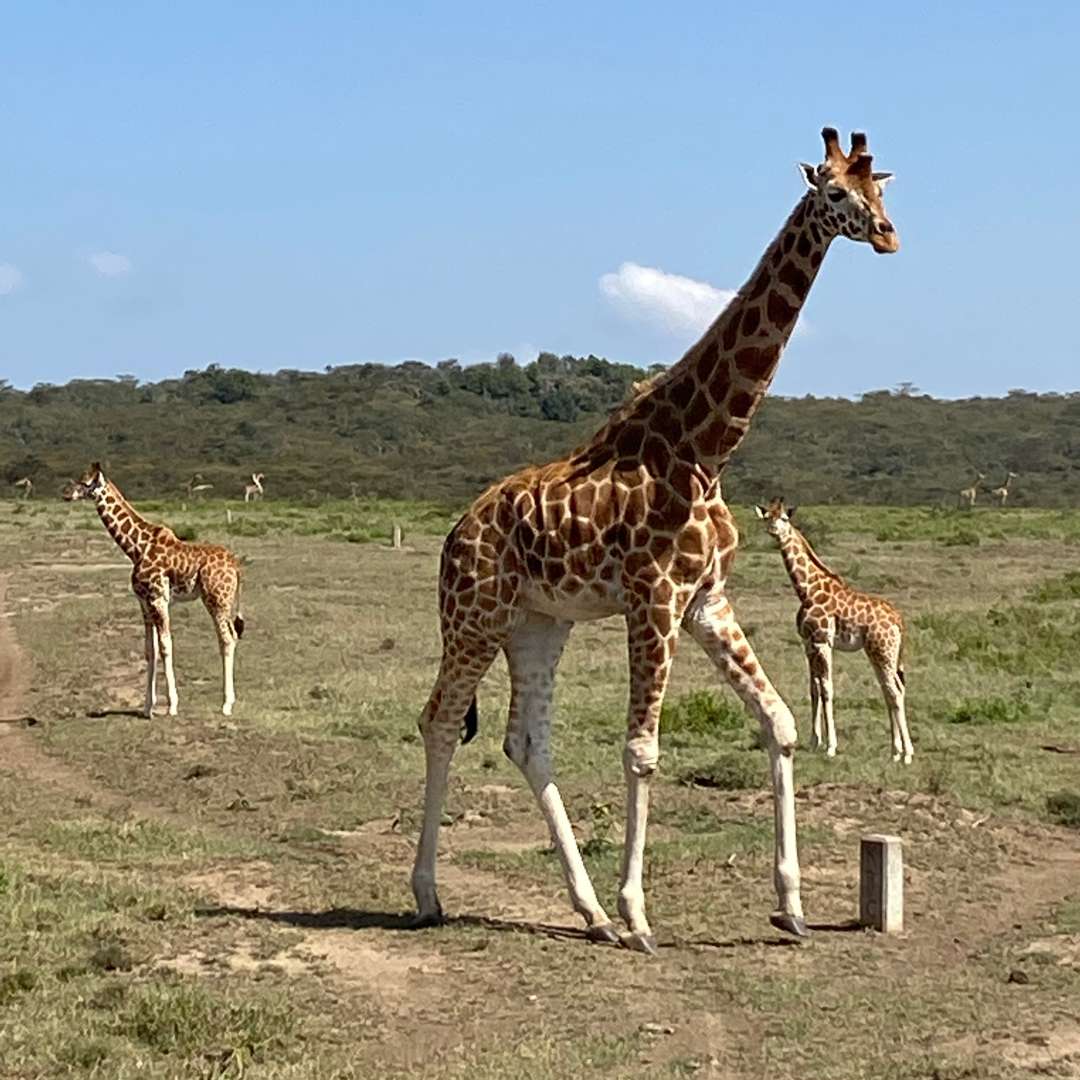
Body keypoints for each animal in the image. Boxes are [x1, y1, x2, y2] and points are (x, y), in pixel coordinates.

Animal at [63, 462, 245, 717]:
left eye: (86, 482)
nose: (66, 493)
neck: (136, 548)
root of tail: (236, 566)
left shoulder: (159, 598)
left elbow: (166, 646)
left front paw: (172, 705)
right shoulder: (144, 602)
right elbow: (150, 650)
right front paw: (147, 706)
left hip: (216, 599)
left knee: (226, 639)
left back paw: (226, 704)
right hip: (224, 601)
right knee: (232, 636)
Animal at [760, 498, 911, 768]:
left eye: (784, 518)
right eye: (767, 517)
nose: (774, 530)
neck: (806, 590)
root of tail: (898, 619)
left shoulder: (823, 642)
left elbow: (827, 689)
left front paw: (831, 746)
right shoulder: (808, 643)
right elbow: (813, 688)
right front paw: (813, 742)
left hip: (883, 651)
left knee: (895, 692)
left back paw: (907, 754)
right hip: (879, 653)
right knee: (890, 691)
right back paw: (895, 751)